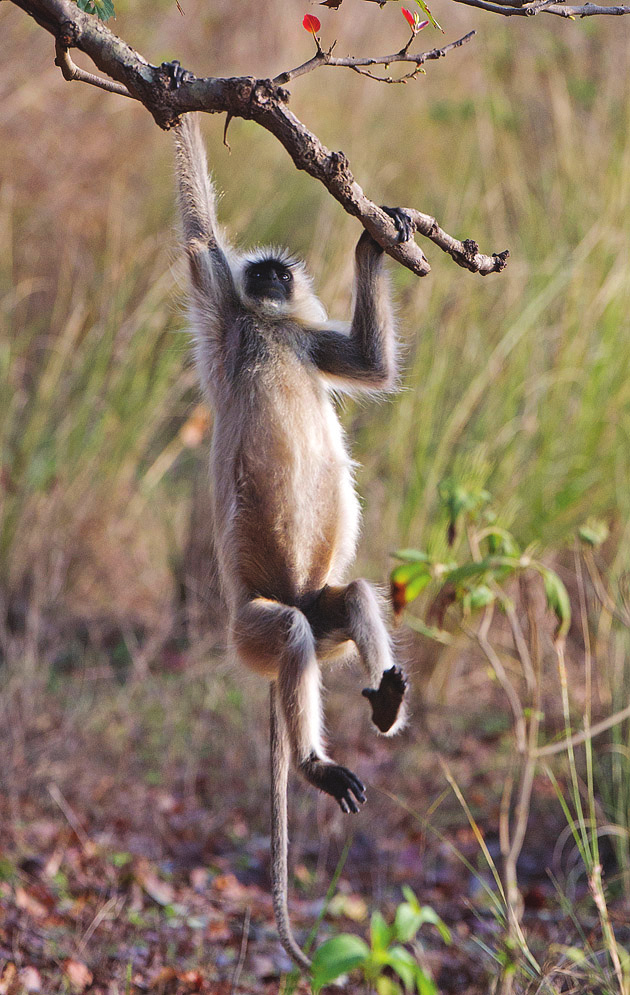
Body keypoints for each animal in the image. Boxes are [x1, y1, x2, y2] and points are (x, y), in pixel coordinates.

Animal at [174, 111, 410, 972]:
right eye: (263, 271)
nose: (274, 279)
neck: (272, 330)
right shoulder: (225, 311)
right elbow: (199, 231)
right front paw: (174, 100)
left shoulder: (303, 340)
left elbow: (370, 365)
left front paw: (374, 241)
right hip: (249, 630)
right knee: (294, 635)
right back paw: (312, 762)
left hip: (323, 602)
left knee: (355, 596)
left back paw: (385, 702)